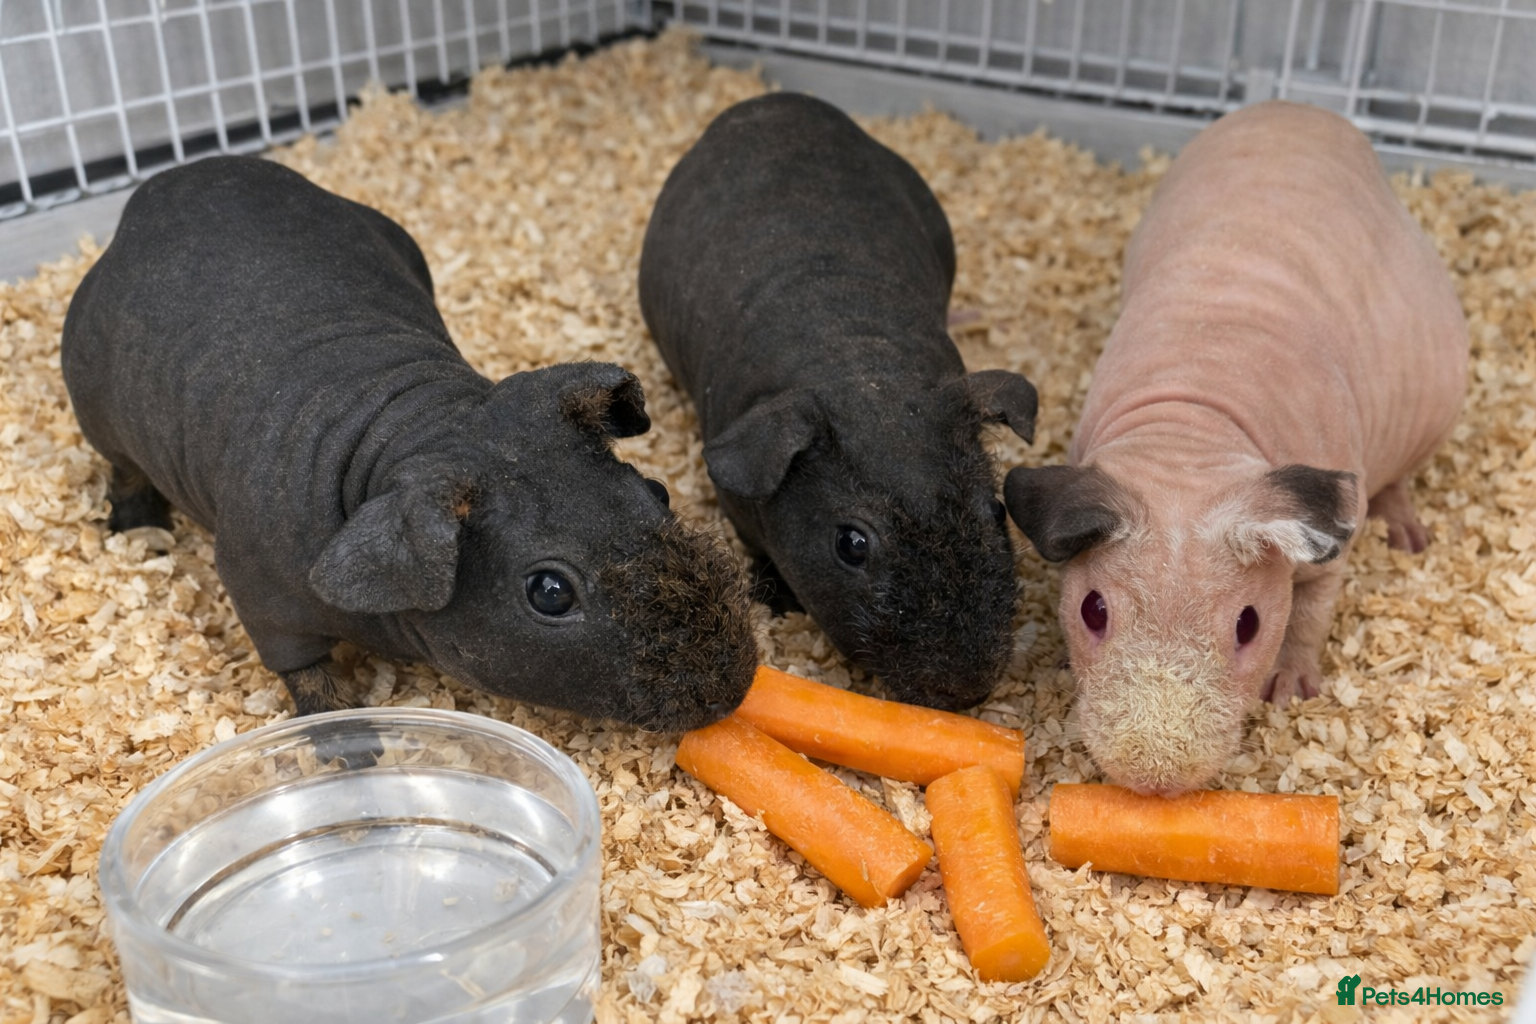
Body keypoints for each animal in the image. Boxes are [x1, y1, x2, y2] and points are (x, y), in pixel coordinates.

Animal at [62, 155, 757, 731]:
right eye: (549, 592)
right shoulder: (260, 597)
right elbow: (308, 678)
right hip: (101, 423)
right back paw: (137, 533)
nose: (735, 686)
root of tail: (168, 182)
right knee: (124, 473)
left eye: (657, 491)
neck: (418, 427)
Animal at [1004, 102, 1467, 794]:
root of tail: (1302, 108)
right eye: (1092, 610)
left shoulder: (1328, 555)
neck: (1196, 432)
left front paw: (1293, 690)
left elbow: (1310, 616)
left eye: (1248, 624)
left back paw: (1409, 536)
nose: (1155, 776)